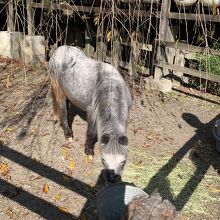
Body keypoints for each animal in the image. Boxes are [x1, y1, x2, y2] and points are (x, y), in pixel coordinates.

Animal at [49, 46, 131, 182]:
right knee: (62, 111)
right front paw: (88, 152)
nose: (111, 180)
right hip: (58, 89)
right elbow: (91, 133)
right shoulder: (92, 113)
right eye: (103, 160)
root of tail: (59, 49)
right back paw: (68, 134)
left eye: (123, 162)